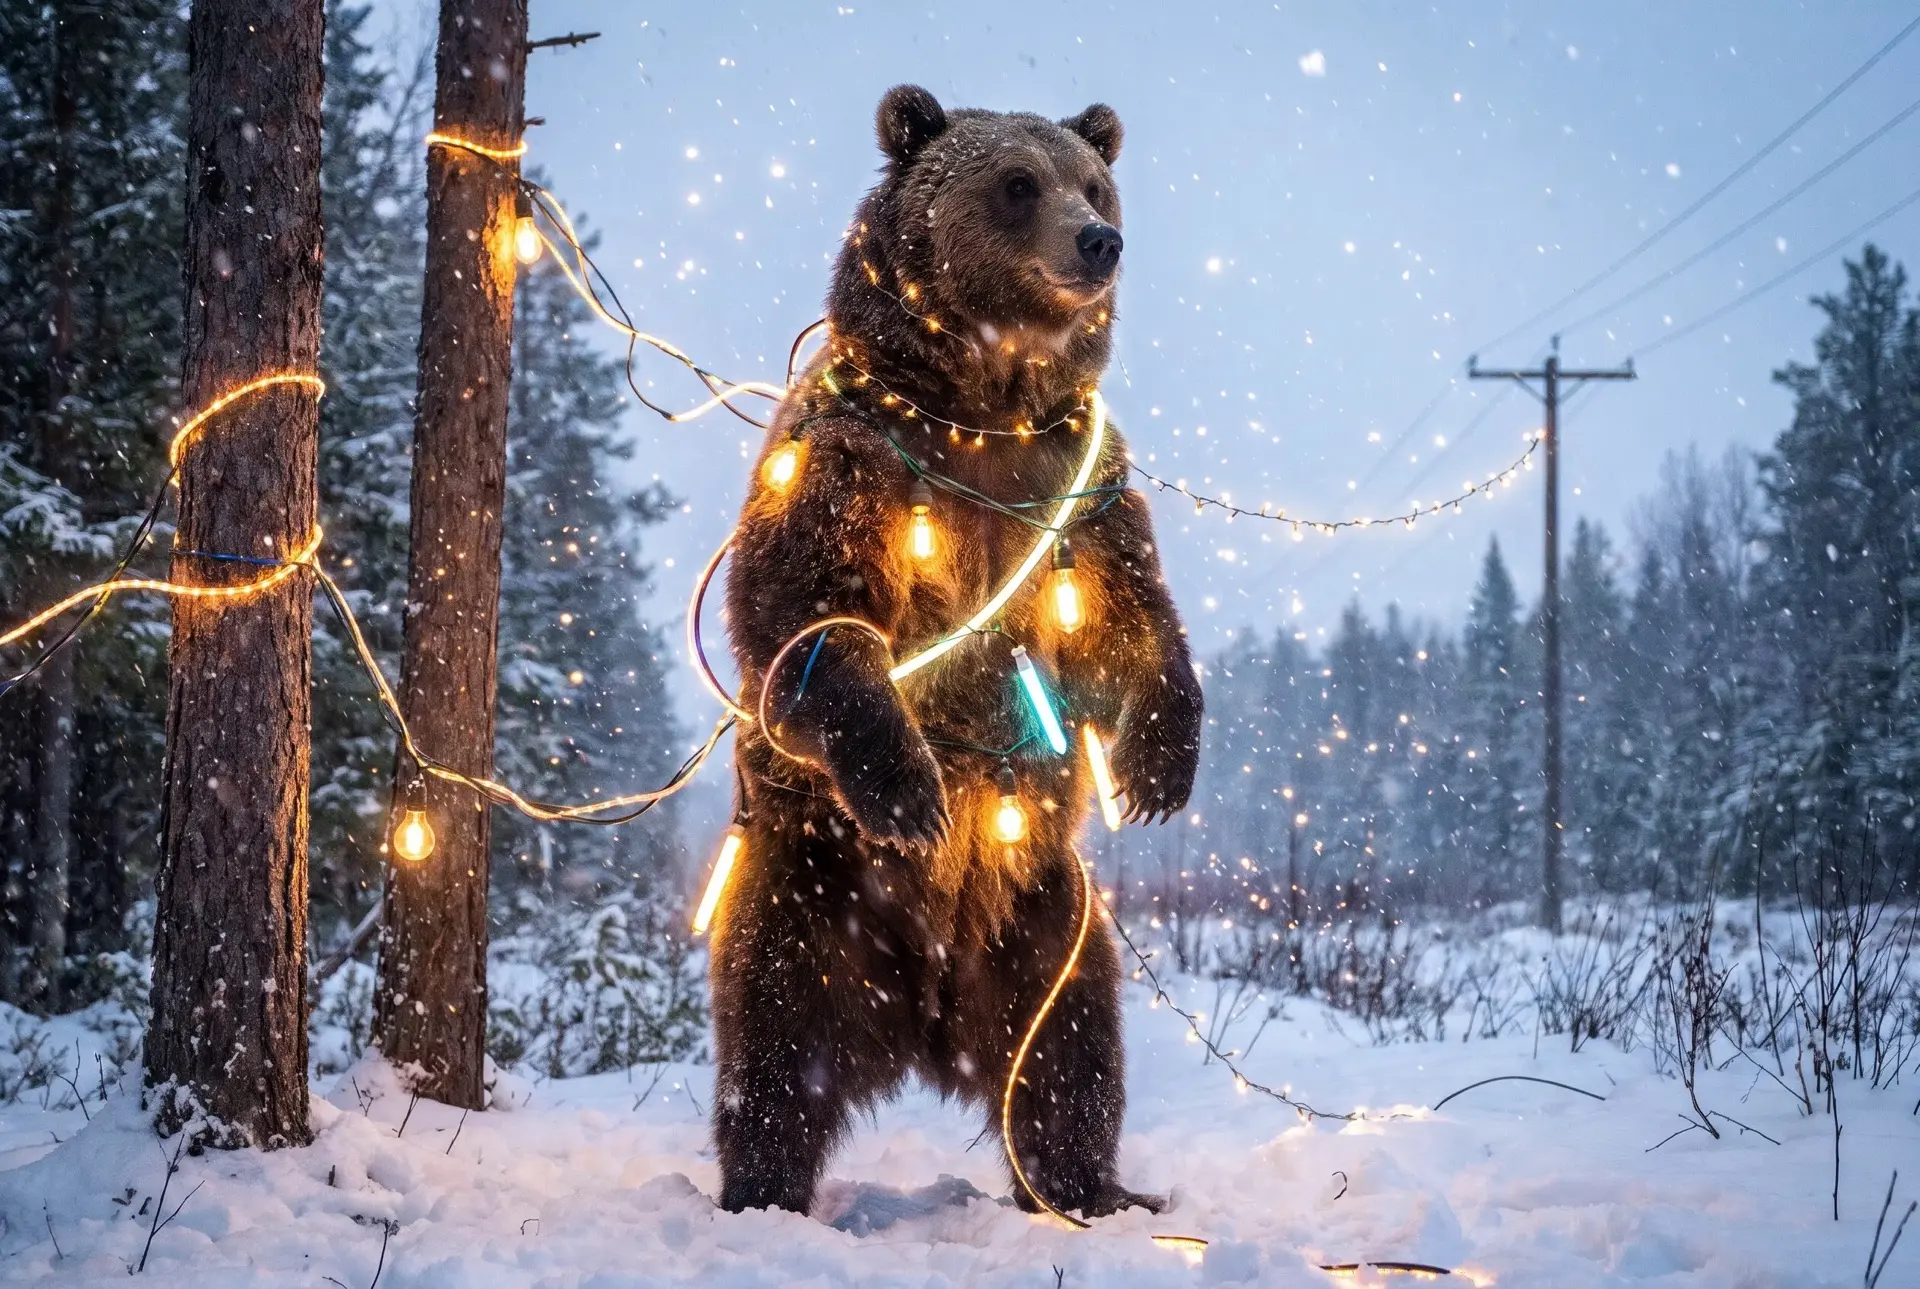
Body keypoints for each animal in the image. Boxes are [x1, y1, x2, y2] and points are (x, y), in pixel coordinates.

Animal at [711, 83, 1203, 1221]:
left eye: (1093, 180)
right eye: (1017, 182)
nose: (1099, 239)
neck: (982, 408)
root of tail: (926, 1013)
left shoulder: (1081, 479)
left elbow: (1128, 613)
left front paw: (1161, 764)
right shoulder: (853, 452)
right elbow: (809, 613)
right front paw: (909, 788)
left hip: (1042, 916)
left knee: (1072, 1050)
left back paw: (1094, 1186)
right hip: (812, 891)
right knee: (773, 1044)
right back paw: (761, 1186)